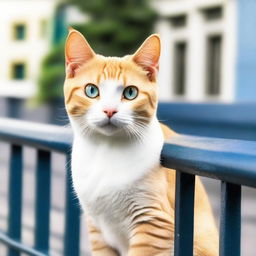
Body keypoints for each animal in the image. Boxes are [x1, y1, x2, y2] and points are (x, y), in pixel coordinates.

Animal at [63, 28, 218, 256]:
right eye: (91, 90)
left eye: (130, 92)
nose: (110, 110)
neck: (105, 151)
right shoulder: (96, 227)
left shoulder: (153, 223)